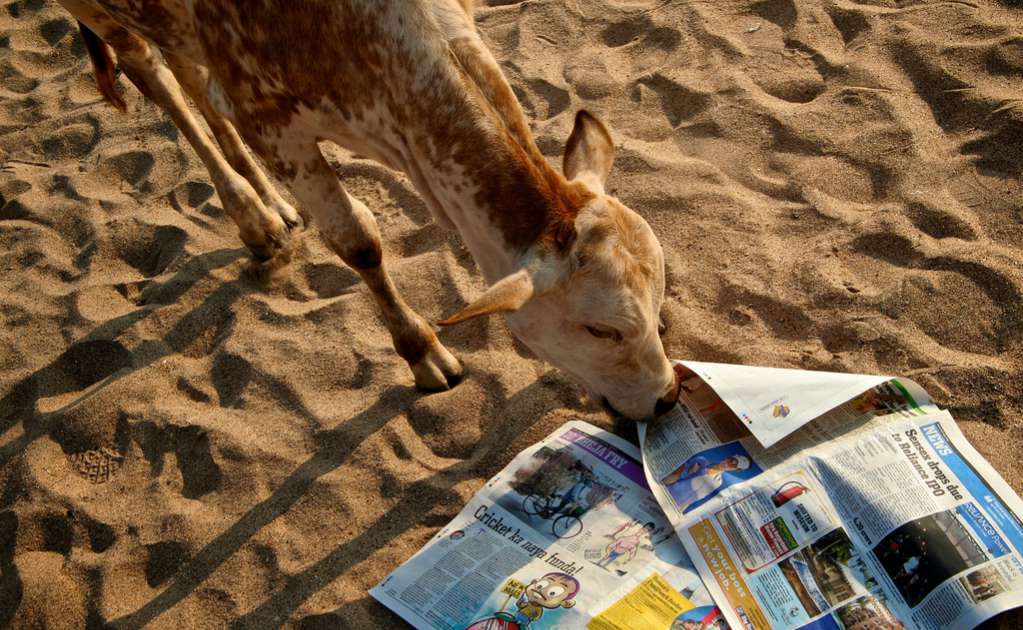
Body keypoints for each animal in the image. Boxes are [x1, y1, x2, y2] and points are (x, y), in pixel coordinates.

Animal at [56, 1, 683, 423]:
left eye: (658, 305)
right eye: (600, 328)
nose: (668, 396)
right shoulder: (271, 122)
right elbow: (358, 240)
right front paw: (423, 352)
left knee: (187, 73)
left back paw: (271, 212)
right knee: (150, 69)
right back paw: (249, 213)